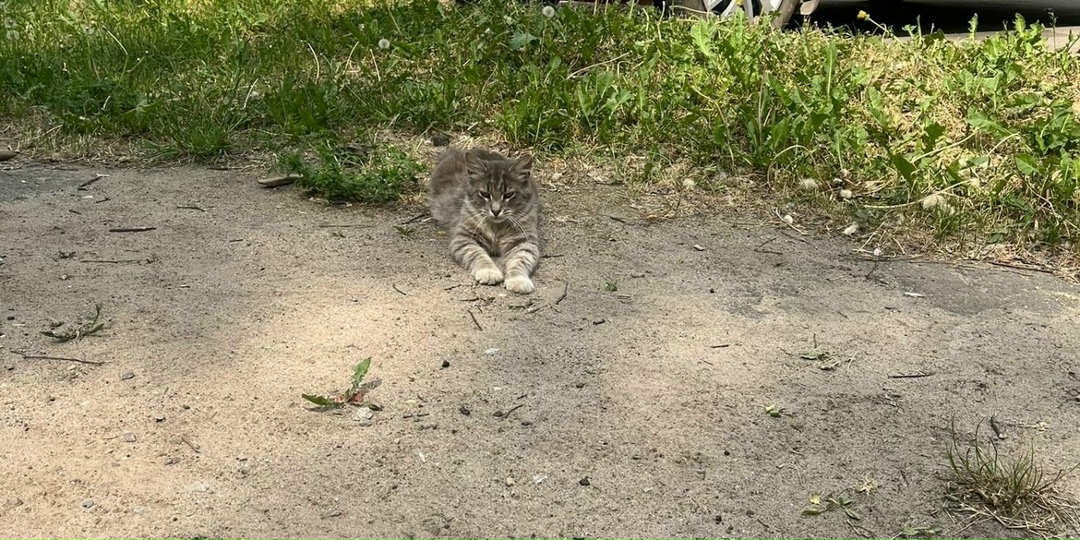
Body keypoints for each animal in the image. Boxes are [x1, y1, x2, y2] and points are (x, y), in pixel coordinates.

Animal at [428, 147, 541, 294]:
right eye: (485, 194)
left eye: (509, 195)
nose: (496, 211)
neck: (497, 228)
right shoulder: (464, 239)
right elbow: (479, 255)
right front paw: (489, 272)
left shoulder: (524, 242)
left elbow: (519, 261)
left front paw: (518, 280)